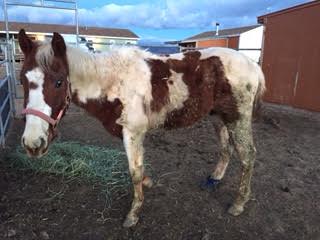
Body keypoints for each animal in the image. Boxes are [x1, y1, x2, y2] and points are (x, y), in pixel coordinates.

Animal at [18, 28, 266, 227]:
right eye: (22, 80)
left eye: (59, 82)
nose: (33, 143)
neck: (112, 83)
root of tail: (252, 64)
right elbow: (140, 168)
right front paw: (148, 183)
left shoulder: (133, 132)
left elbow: (134, 172)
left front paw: (133, 214)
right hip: (219, 117)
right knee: (227, 148)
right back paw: (214, 179)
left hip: (237, 118)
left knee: (248, 155)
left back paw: (239, 203)